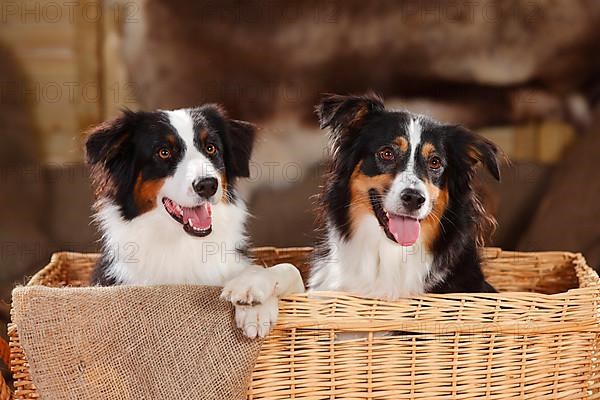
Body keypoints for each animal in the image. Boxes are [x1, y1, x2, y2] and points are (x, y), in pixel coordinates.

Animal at [84, 104, 304, 338]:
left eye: (211, 148)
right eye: (163, 152)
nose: (207, 185)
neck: (185, 243)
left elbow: (289, 268)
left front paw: (254, 298)